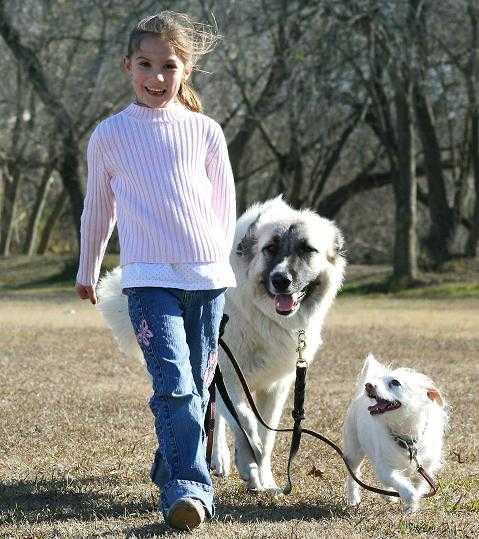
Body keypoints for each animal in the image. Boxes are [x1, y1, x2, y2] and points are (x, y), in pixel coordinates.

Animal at [96, 198, 344, 494]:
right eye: (270, 248)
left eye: (307, 249)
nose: (281, 280)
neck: (261, 315)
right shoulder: (228, 375)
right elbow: (245, 422)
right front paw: (249, 463)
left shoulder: (276, 388)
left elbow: (267, 434)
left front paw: (266, 478)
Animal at [344, 356, 448, 512]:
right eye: (378, 379)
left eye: (395, 382)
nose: (368, 385)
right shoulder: (386, 468)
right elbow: (406, 488)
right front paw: (411, 501)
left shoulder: (426, 467)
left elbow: (418, 486)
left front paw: (412, 507)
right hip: (353, 452)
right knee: (353, 476)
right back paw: (353, 499)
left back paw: (389, 496)